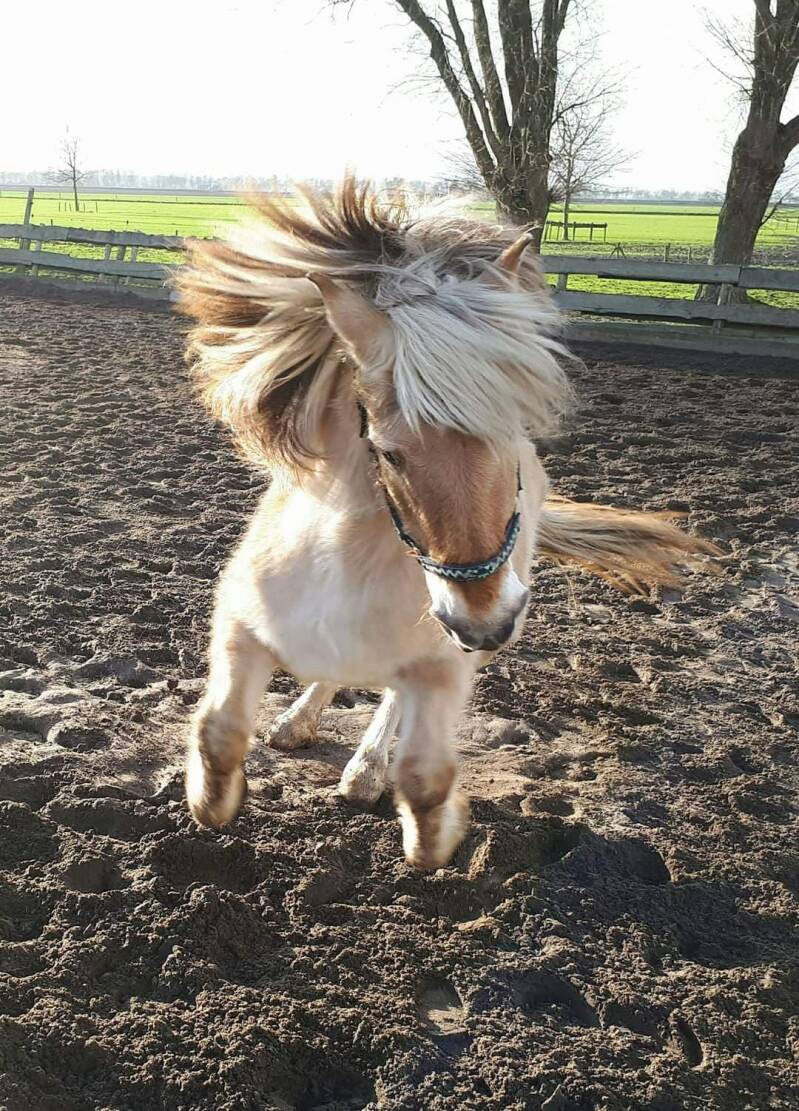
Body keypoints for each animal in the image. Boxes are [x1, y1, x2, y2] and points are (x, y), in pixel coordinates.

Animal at [176, 179, 715, 870]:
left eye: (516, 437)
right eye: (387, 452)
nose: (485, 622)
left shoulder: (442, 665)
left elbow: (425, 775)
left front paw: (429, 831)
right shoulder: (240, 624)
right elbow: (219, 731)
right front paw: (213, 801)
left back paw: (363, 771)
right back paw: (297, 723)